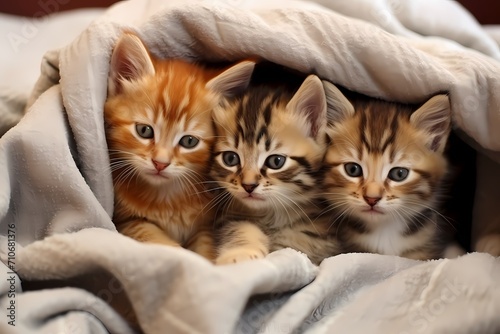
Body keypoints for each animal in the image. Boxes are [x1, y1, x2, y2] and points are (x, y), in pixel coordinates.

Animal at [104, 32, 256, 260]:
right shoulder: (125, 221)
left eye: (189, 141)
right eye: (144, 131)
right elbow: (156, 240)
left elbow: (205, 247)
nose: (160, 163)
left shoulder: (204, 226)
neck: (167, 199)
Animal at [211, 74, 340, 264]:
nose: (248, 186)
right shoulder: (230, 217)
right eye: (230, 158)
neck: (274, 215)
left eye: (276, 161)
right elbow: (238, 227)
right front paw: (240, 254)